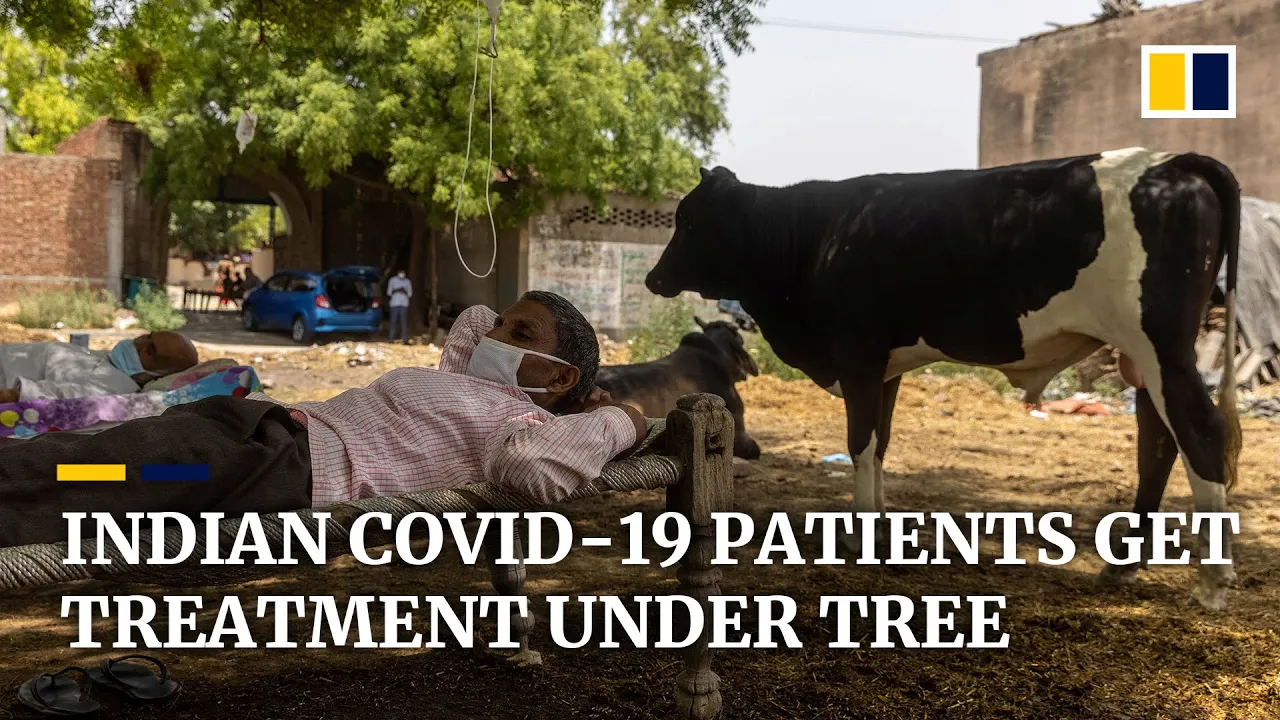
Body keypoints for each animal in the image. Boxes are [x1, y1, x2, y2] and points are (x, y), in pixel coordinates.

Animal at [645, 148, 1243, 610]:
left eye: (690, 220)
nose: (653, 278)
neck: (815, 236)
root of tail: (1171, 162)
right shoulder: (885, 368)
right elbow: (879, 446)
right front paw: (879, 532)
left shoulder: (858, 355)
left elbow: (860, 445)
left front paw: (862, 538)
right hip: (1145, 357)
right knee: (1159, 443)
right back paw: (1125, 566)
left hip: (1161, 345)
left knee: (1200, 434)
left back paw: (1213, 584)